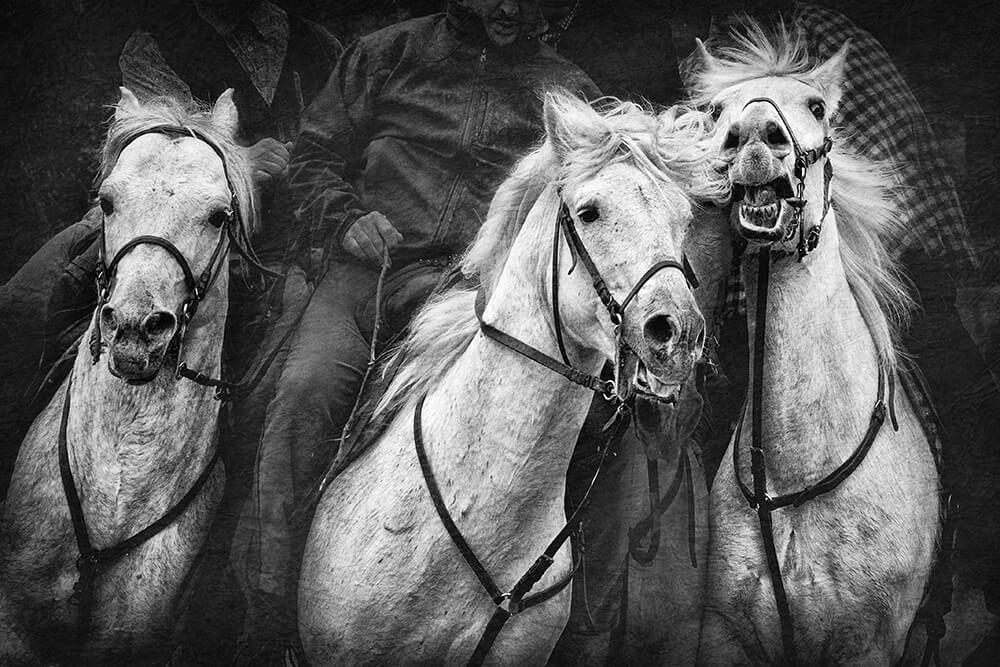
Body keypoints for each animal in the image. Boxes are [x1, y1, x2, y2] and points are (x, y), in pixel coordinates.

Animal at [688, 20, 944, 667]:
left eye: (817, 107)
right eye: (713, 111)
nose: (755, 139)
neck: (793, 480)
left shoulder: (866, 645)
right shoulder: (723, 633)